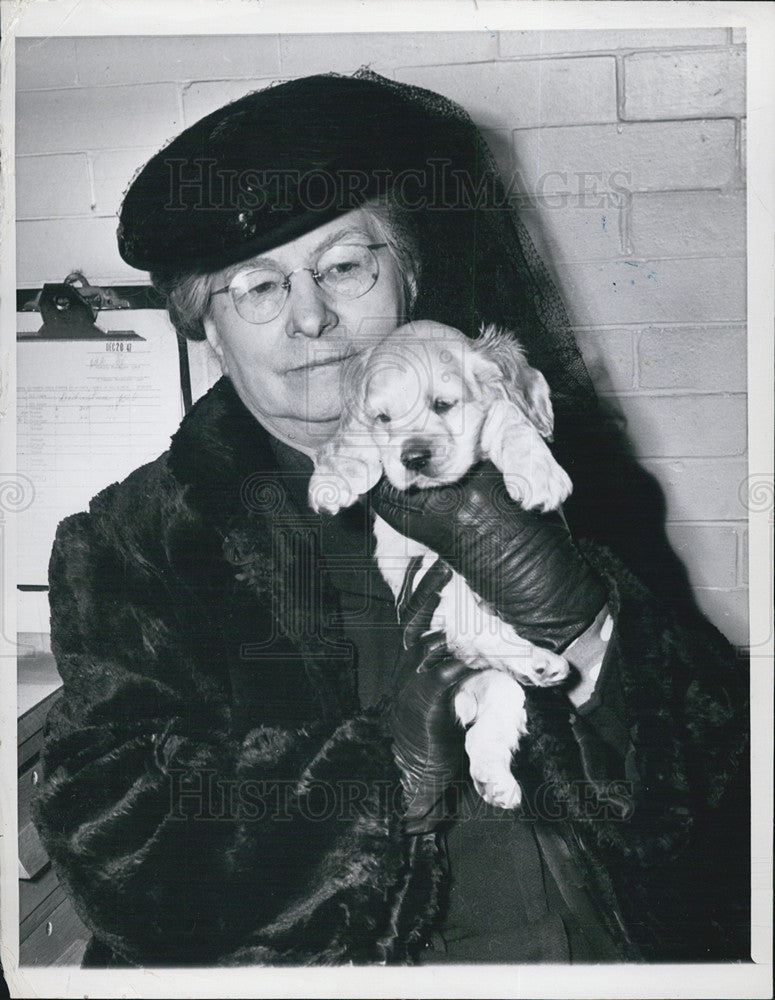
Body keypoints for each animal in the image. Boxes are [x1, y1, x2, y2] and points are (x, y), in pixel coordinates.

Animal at [312, 324, 572, 808]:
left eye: (444, 405)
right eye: (384, 418)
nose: (413, 457)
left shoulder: (498, 416)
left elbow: (510, 416)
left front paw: (539, 474)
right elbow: (353, 439)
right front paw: (333, 480)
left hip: (493, 671)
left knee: (490, 719)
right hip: (457, 619)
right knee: (478, 650)